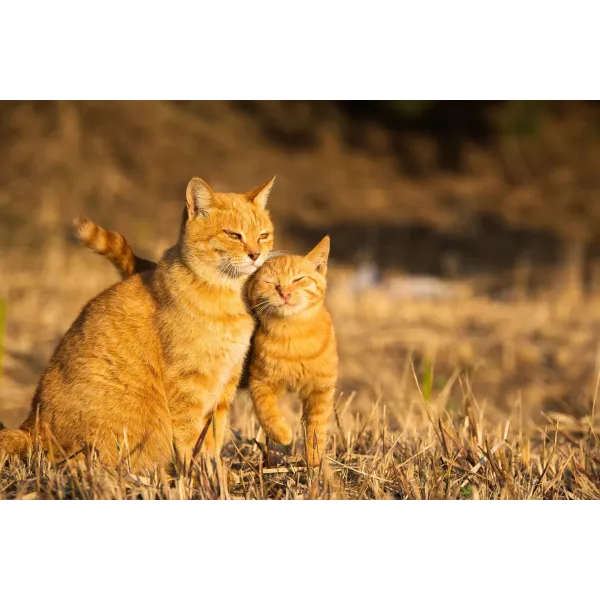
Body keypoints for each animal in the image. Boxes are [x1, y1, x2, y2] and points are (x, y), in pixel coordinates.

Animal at [0, 176, 276, 472]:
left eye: (263, 235)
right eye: (233, 235)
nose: (256, 254)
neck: (229, 298)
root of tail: (29, 427)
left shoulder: (225, 387)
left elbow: (213, 439)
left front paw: (218, 473)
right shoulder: (188, 387)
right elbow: (191, 440)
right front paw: (198, 474)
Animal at [245, 236, 338, 468]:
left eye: (298, 279)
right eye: (270, 282)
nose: (284, 293)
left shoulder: (321, 390)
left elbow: (316, 429)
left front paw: (314, 462)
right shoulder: (259, 382)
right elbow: (266, 411)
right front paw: (282, 432)